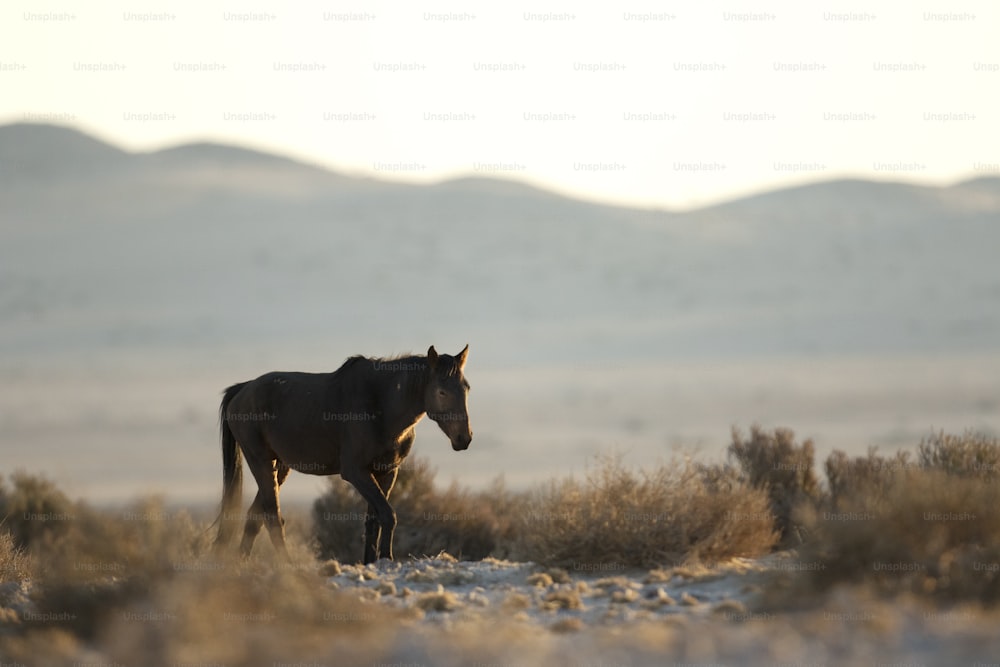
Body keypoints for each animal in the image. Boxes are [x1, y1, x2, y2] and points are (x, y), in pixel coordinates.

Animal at [215, 344, 472, 564]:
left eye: (466, 388)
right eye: (441, 392)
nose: (464, 438)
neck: (380, 404)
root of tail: (242, 390)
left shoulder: (387, 472)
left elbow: (374, 521)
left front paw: (372, 561)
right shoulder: (356, 472)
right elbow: (388, 514)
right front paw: (386, 558)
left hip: (280, 466)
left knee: (255, 517)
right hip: (260, 460)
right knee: (271, 516)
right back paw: (287, 565)